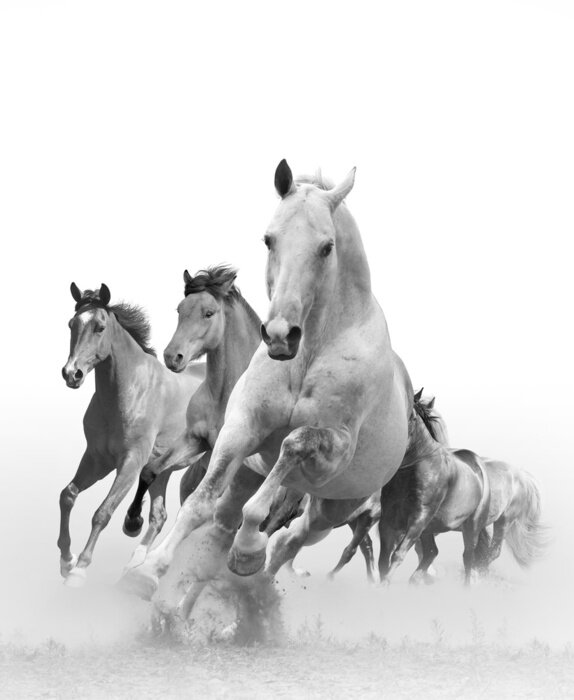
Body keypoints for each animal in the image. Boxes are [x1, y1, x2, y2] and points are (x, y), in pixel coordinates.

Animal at [59, 283, 204, 586]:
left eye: (100, 327)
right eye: (71, 324)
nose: (71, 374)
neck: (130, 392)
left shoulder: (131, 462)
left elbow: (103, 512)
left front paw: (79, 570)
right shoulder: (97, 459)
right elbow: (68, 495)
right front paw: (66, 561)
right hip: (164, 469)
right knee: (160, 515)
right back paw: (136, 566)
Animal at [122, 265, 263, 571]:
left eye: (209, 313)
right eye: (179, 309)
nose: (172, 357)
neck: (225, 394)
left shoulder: (227, 456)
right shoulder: (196, 440)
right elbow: (150, 470)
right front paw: (132, 521)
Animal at [377, 397, 490, 585]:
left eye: (412, 416)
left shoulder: (419, 517)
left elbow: (398, 554)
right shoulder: (388, 519)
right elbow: (383, 560)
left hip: (471, 525)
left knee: (468, 557)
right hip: (429, 529)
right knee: (431, 552)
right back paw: (415, 581)